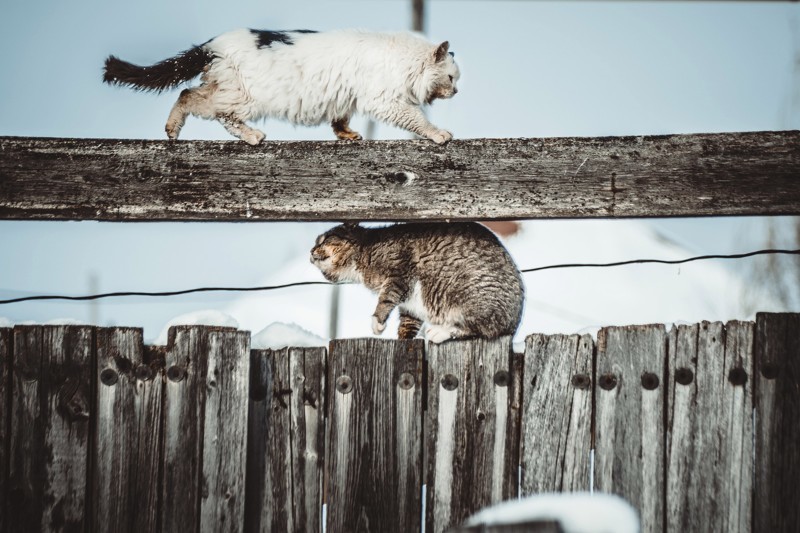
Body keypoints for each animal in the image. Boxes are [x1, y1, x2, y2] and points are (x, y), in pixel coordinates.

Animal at [103, 28, 460, 145]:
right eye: (452, 78)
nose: (457, 92)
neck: (403, 59)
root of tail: (212, 43)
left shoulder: (345, 97)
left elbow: (340, 119)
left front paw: (347, 135)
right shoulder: (385, 101)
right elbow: (419, 120)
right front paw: (440, 134)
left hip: (225, 87)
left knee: (188, 93)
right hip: (243, 97)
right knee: (206, 106)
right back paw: (249, 136)